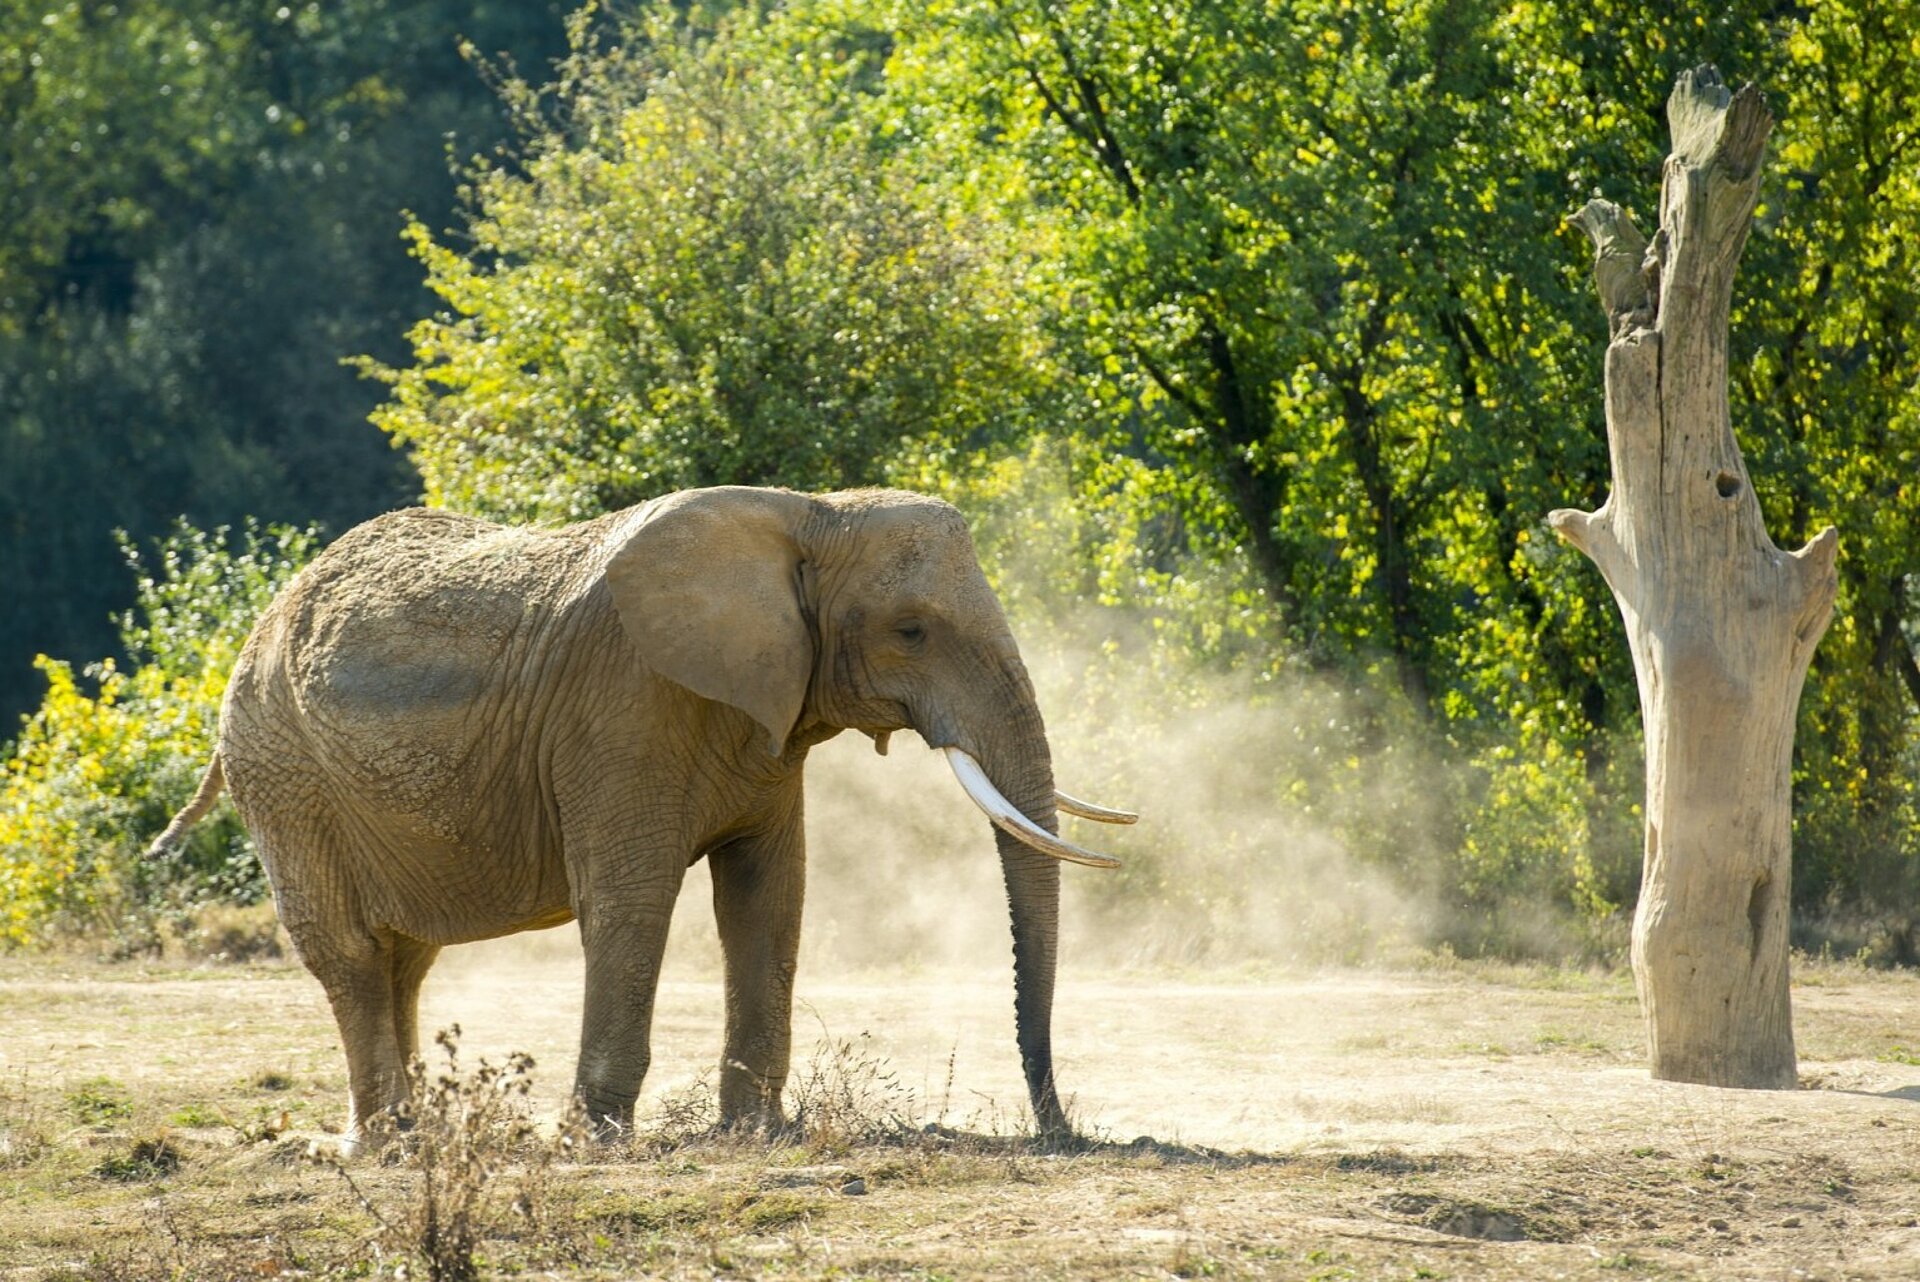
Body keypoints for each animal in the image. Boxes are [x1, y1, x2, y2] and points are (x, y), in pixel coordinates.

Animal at [153, 485, 1136, 1143]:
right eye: (913, 631)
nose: (1057, 1129)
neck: (813, 514)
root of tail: (261, 621)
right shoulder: (623, 707)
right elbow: (631, 900)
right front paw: (595, 1141)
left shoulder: (765, 718)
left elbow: (768, 897)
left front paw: (756, 1135)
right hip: (282, 770)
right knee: (350, 950)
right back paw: (392, 1144)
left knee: (406, 953)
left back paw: (417, 1135)